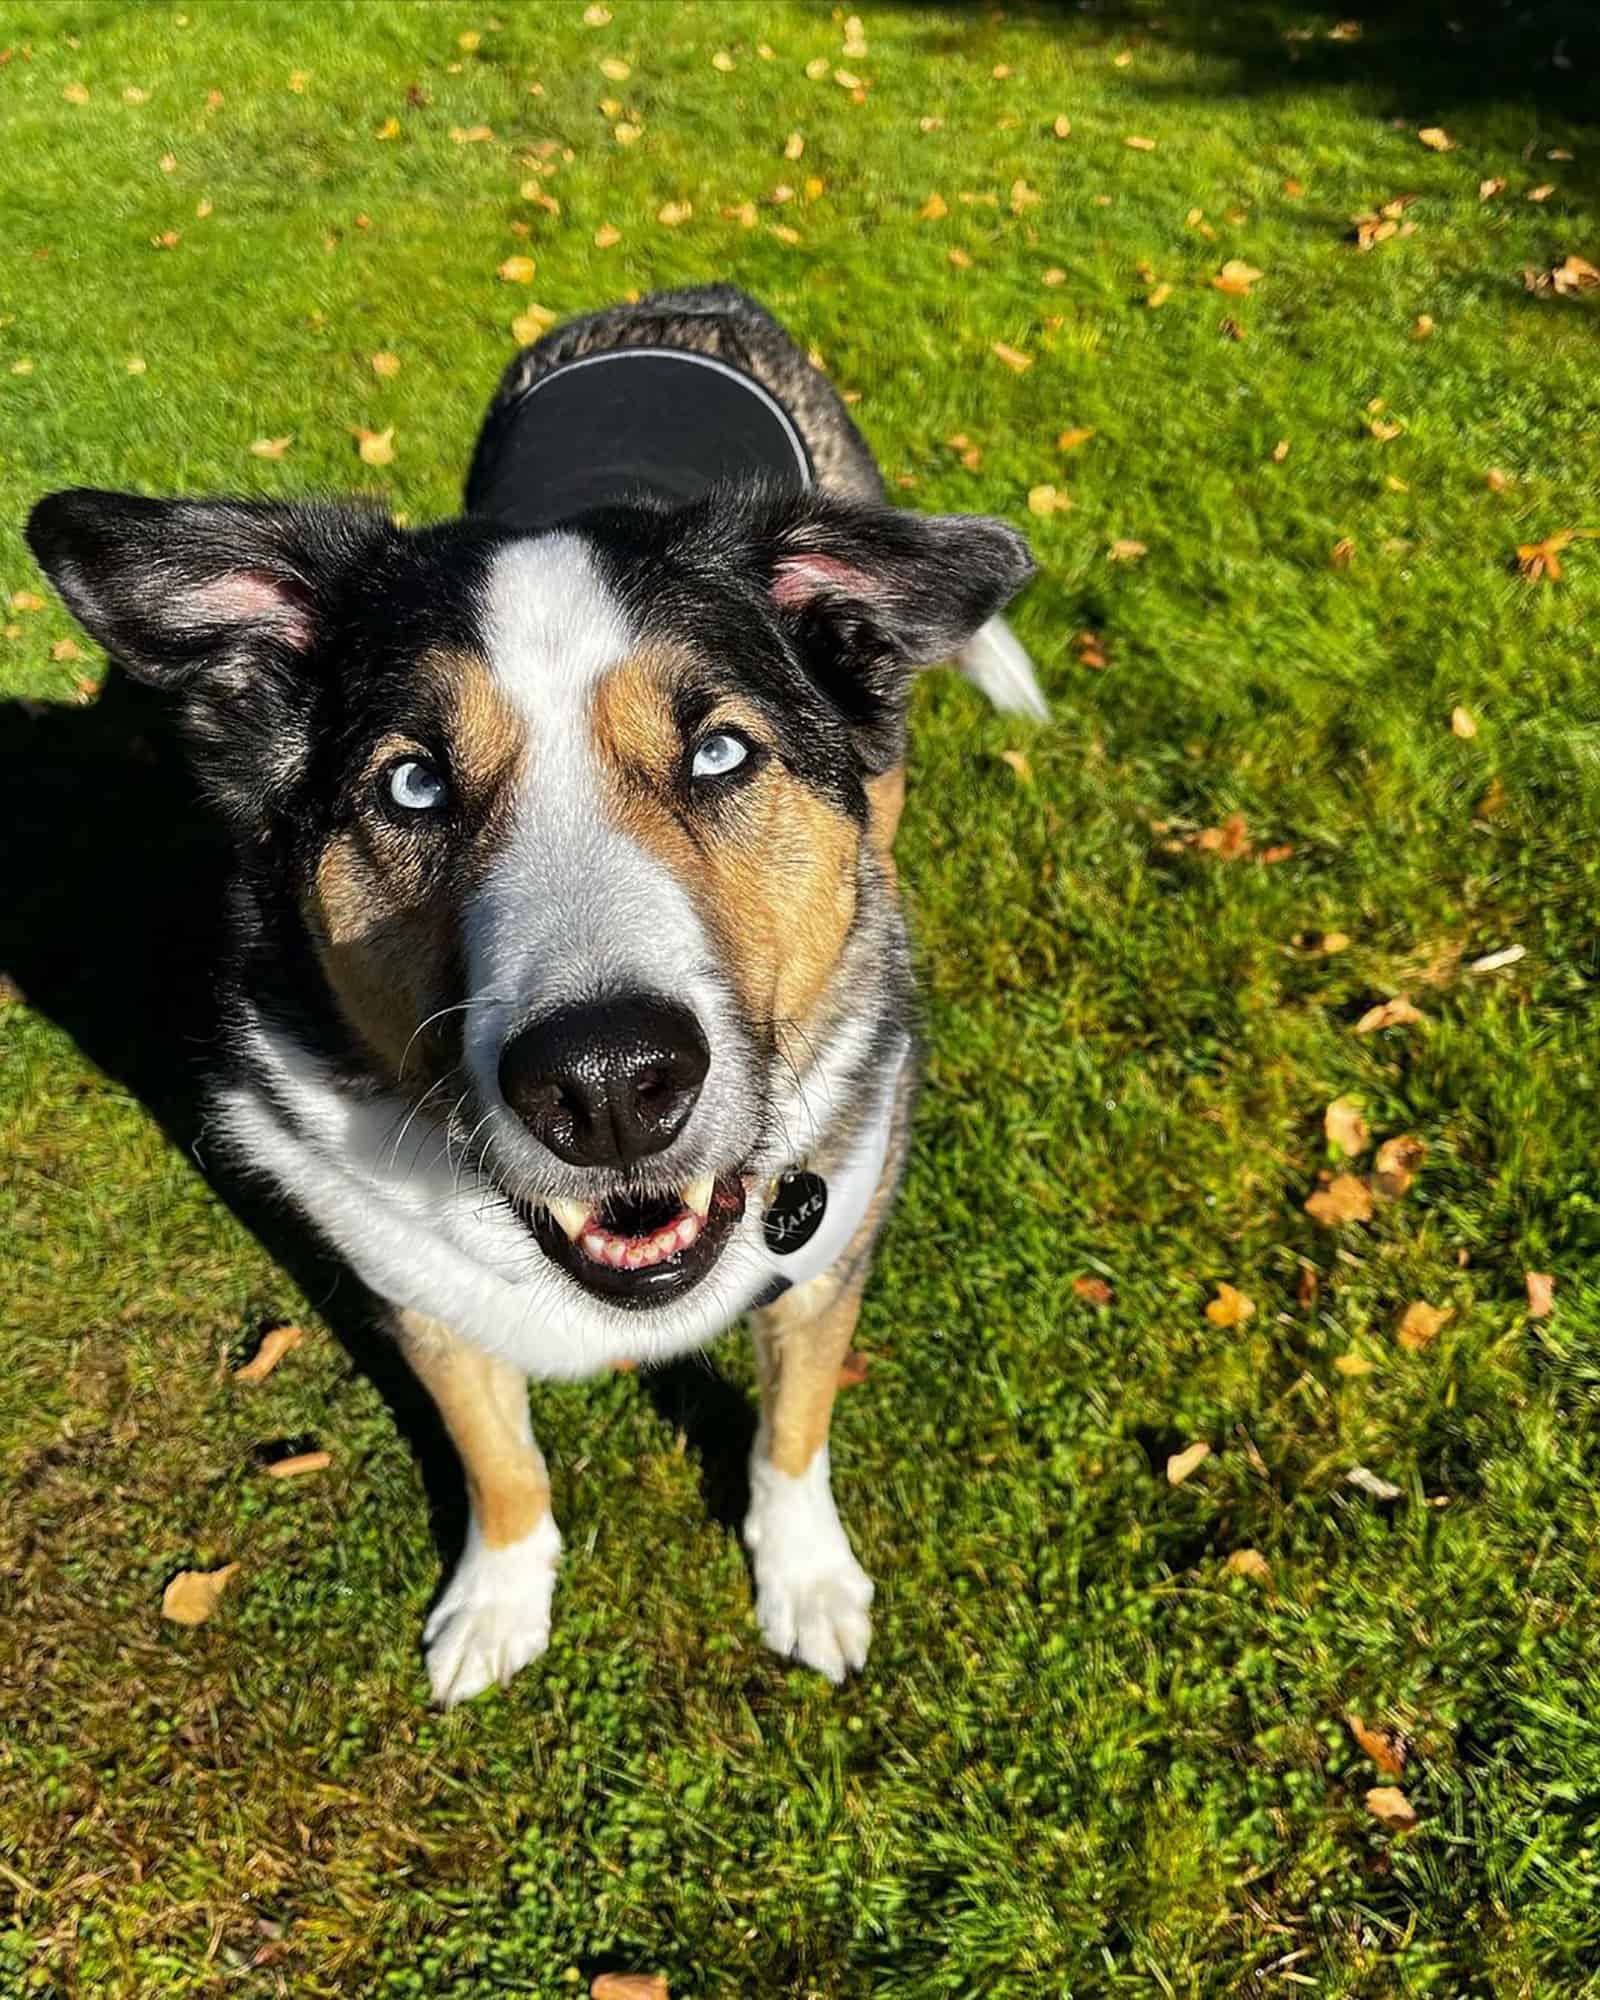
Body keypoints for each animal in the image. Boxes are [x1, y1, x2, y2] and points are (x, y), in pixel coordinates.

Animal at [34, 286, 1048, 1704]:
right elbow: (493, 1450)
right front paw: (499, 1595)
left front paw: (805, 1580)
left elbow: (792, 1429)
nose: (610, 1084)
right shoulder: (413, 1293)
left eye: (719, 750)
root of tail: (683, 298)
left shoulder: (830, 1250)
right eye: (411, 784)